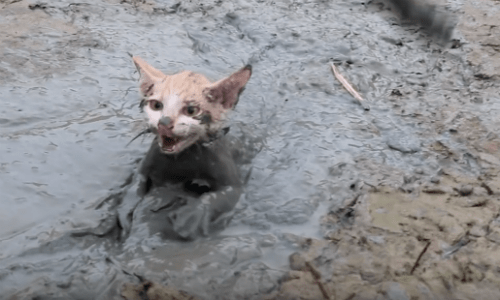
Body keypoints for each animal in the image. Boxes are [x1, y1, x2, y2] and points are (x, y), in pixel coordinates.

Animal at [118, 55, 252, 239]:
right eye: (156, 105)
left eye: (191, 110)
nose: (164, 122)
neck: (181, 159)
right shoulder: (143, 168)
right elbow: (135, 185)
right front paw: (126, 210)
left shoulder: (234, 186)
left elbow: (214, 197)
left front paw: (189, 217)